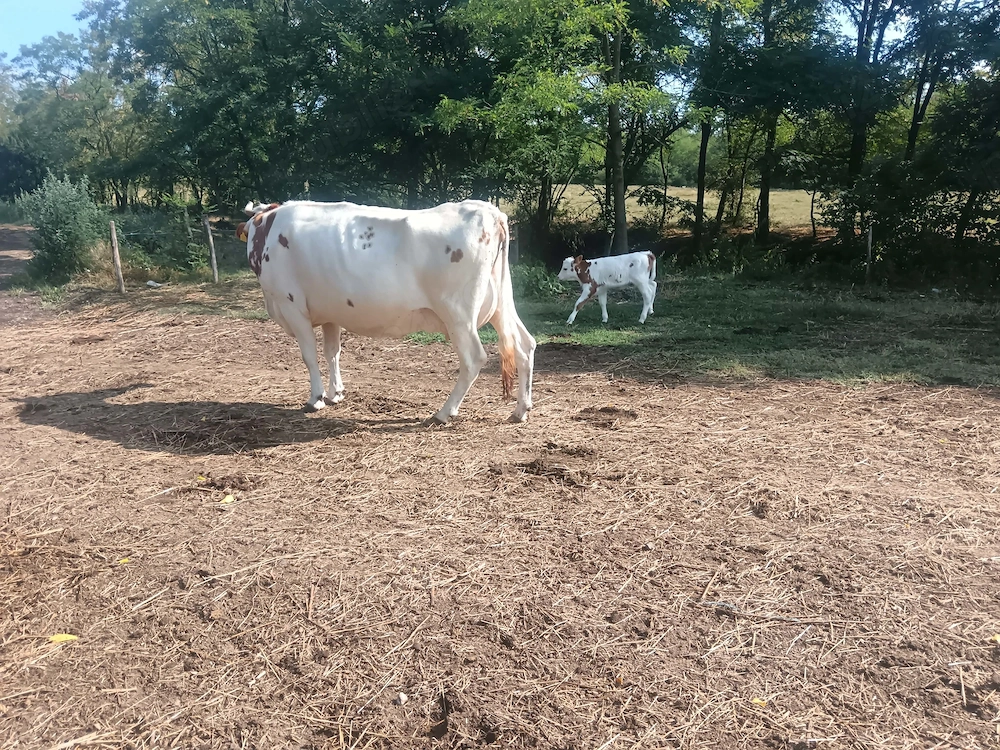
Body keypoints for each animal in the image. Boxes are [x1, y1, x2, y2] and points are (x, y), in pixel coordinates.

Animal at [236, 199, 535, 425]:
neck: (270, 228)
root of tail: (489, 211)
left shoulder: (292, 305)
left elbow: (309, 356)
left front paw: (315, 399)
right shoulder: (332, 312)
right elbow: (332, 352)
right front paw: (335, 393)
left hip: (458, 314)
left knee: (474, 358)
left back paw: (443, 413)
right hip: (501, 303)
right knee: (525, 344)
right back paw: (520, 410)